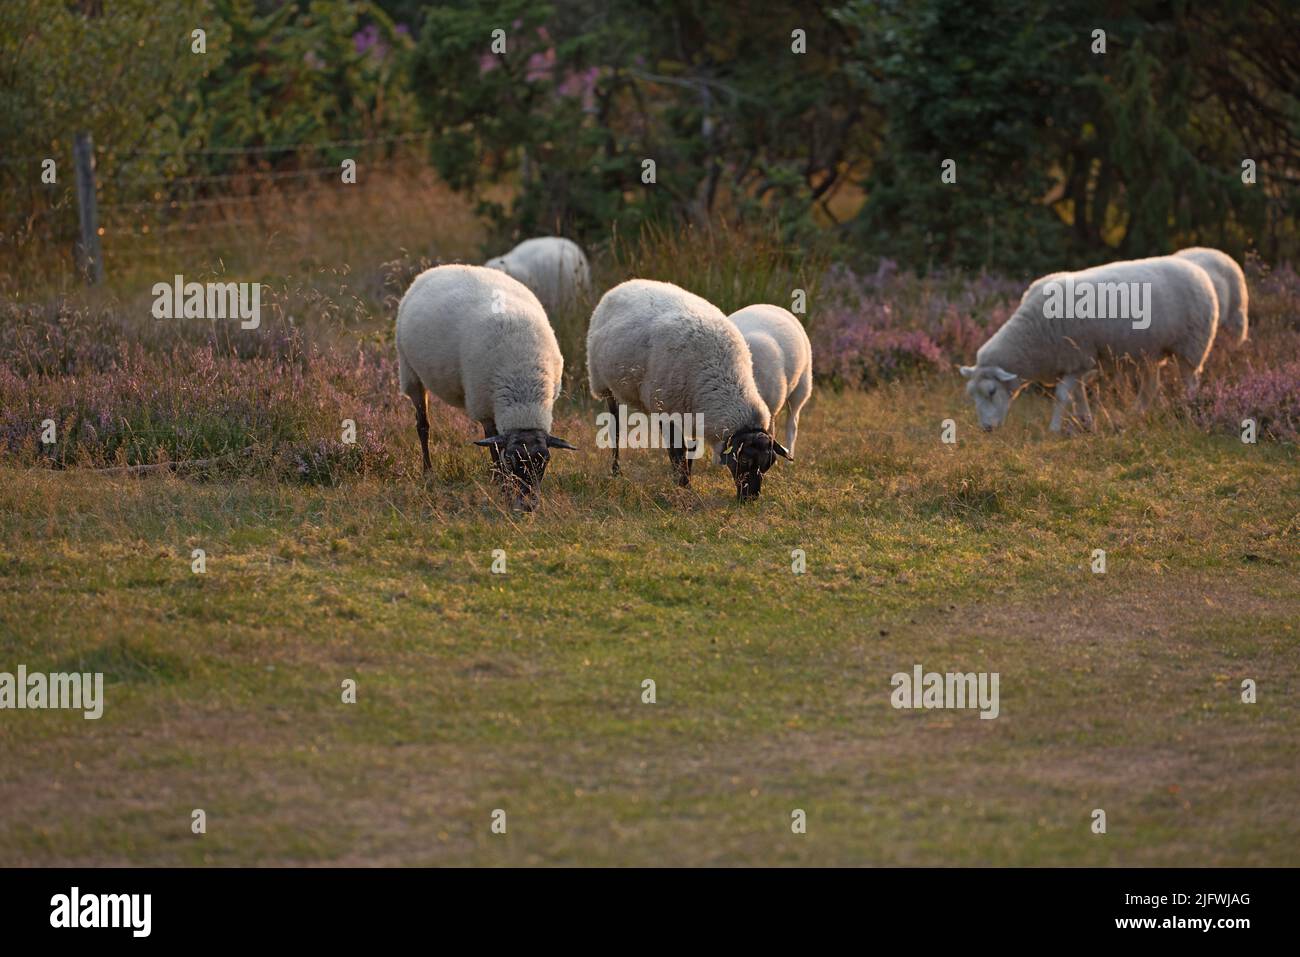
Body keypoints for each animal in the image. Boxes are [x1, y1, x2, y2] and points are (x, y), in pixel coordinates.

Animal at [395, 261, 574, 509]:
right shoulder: (484, 406)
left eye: (545, 460)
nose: (528, 505)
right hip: (410, 372)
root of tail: (441, 267)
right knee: (423, 425)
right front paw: (502, 486)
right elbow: (494, 448)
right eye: (511, 460)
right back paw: (428, 471)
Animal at [590, 276, 790, 501]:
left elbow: (692, 451)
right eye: (744, 460)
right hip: (603, 384)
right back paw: (616, 471)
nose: (750, 499)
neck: (724, 377)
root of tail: (626, 283)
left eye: (769, 464)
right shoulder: (667, 409)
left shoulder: (694, 412)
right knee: (615, 427)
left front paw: (686, 481)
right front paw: (683, 486)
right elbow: (677, 452)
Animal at [961, 256, 1222, 431]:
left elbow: (1062, 396)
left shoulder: (1078, 358)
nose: (986, 428)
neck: (1031, 335)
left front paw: (1054, 428)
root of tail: (1197, 270)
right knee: (1151, 386)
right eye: (971, 394)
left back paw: (1191, 410)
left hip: (1192, 345)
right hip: (1149, 352)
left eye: (992, 391)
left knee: (1190, 381)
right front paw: (1086, 422)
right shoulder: (1073, 363)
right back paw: (1134, 415)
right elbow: (1077, 395)